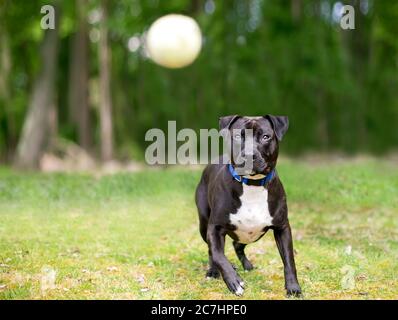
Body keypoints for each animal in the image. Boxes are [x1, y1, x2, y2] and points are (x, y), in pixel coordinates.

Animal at [194, 114, 300, 296]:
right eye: (238, 136)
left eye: (265, 136)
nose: (249, 155)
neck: (252, 185)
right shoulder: (214, 228)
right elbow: (218, 255)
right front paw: (233, 281)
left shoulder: (282, 228)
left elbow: (289, 260)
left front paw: (293, 288)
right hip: (204, 224)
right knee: (212, 250)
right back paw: (214, 271)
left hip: (253, 233)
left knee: (237, 244)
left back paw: (246, 265)